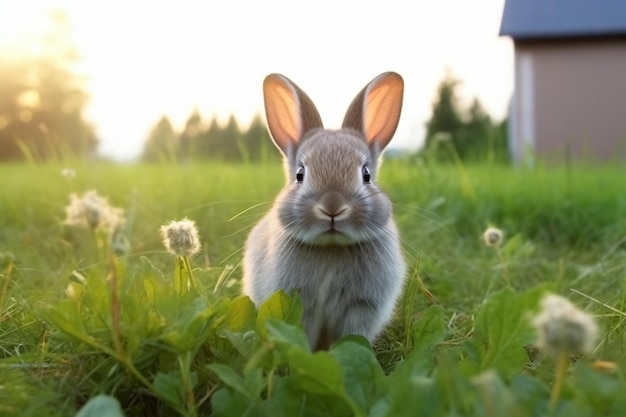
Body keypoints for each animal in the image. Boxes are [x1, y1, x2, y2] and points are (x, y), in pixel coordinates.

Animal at [241, 72, 408, 352]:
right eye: (300, 174)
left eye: (366, 174)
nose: (332, 207)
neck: (332, 247)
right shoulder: (301, 305)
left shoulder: (361, 307)